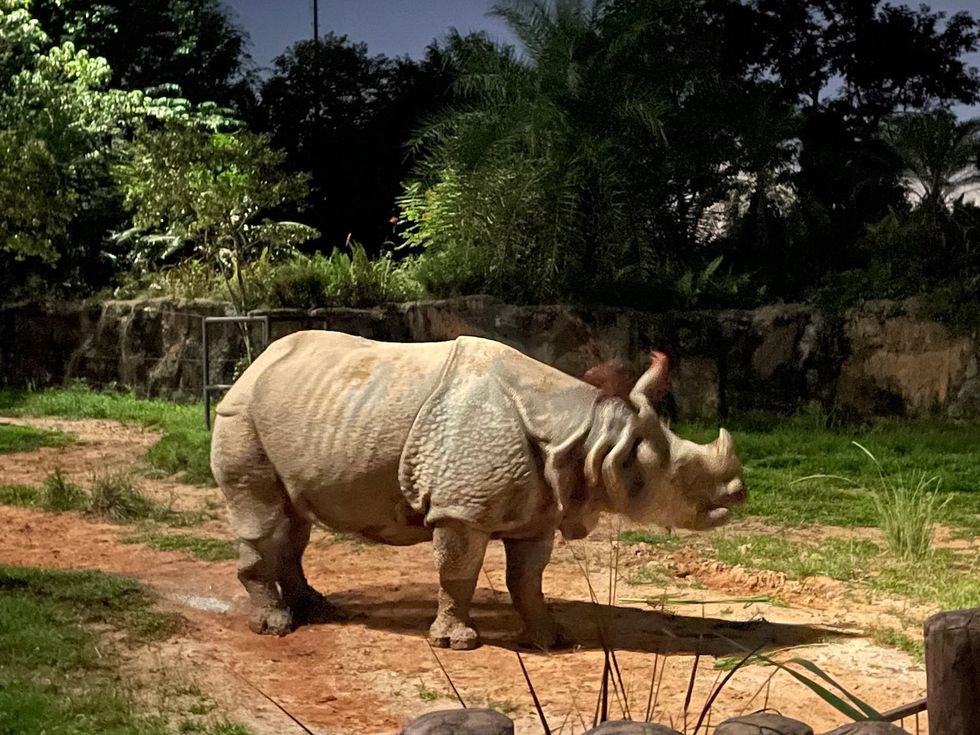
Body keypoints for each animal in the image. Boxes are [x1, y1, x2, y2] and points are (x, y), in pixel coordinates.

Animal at [211, 331, 745, 650]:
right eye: (683, 474)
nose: (739, 493)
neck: (594, 435)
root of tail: (253, 365)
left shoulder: (539, 510)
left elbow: (528, 578)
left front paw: (550, 638)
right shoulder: (459, 509)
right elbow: (458, 573)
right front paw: (457, 643)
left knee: (293, 522)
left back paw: (319, 610)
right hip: (240, 414)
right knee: (264, 518)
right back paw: (275, 627)